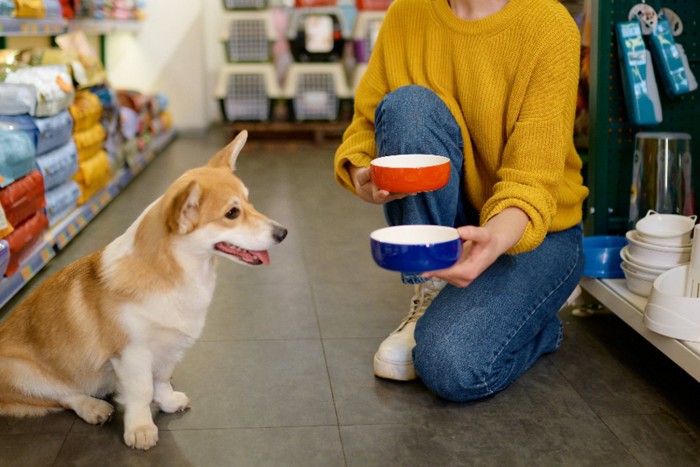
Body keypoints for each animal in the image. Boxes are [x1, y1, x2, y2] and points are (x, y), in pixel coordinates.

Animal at [0, 131, 288, 450]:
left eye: (249, 202)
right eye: (232, 213)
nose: (283, 233)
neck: (176, 272)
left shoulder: (168, 348)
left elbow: (160, 381)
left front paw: (169, 402)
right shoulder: (132, 354)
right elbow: (141, 391)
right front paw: (140, 429)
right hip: (19, 372)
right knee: (63, 395)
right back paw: (93, 407)